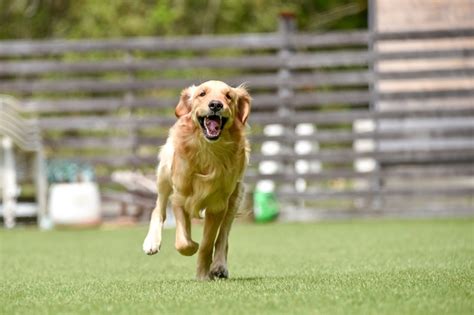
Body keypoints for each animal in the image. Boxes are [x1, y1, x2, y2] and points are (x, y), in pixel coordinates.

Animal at [142, 80, 250, 280]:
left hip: (235, 195)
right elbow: (183, 242)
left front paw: (203, 274)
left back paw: (219, 266)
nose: (215, 105)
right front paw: (191, 246)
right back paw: (151, 242)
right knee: (158, 208)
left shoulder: (218, 205)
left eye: (228, 96)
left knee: (223, 235)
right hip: (164, 174)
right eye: (202, 94)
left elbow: (207, 243)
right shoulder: (180, 197)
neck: (208, 151)